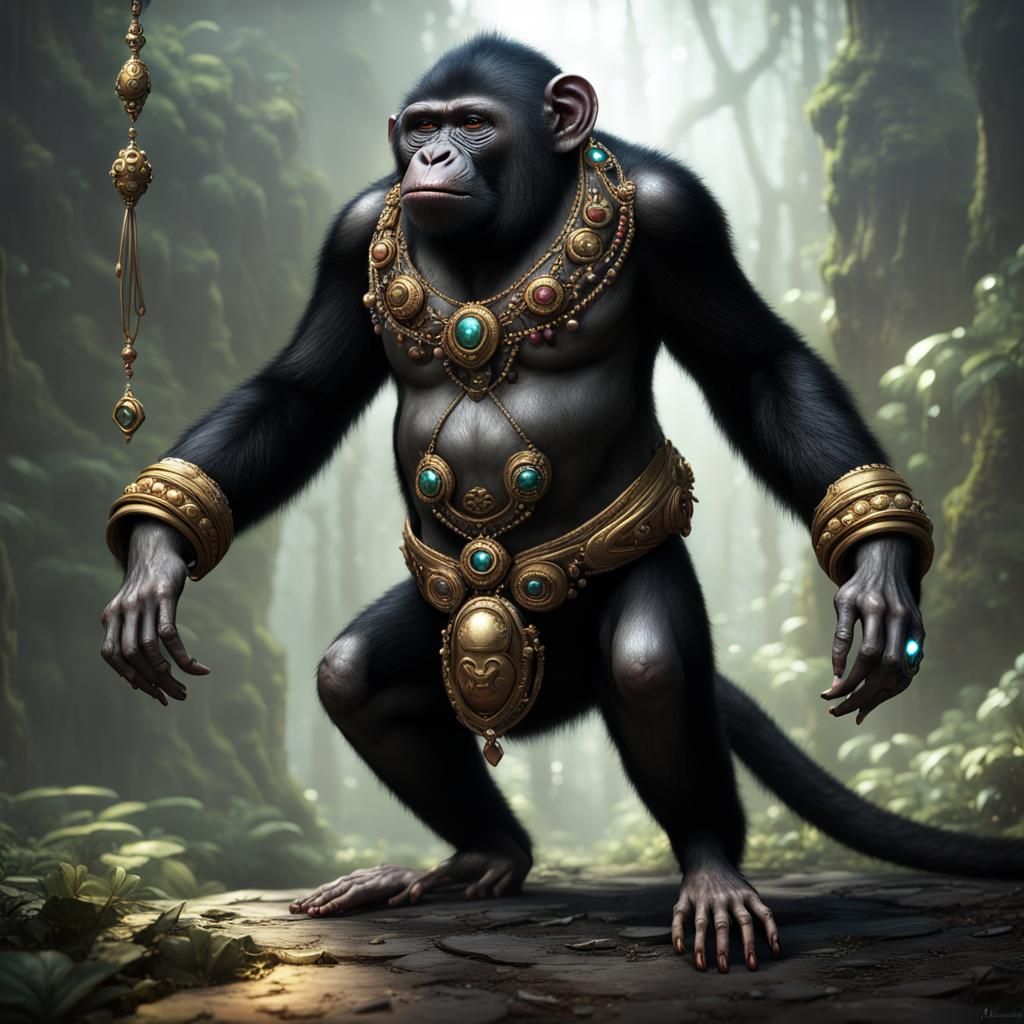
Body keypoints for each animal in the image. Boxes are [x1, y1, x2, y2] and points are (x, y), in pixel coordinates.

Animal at [101, 36, 1024, 974]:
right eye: (423, 127)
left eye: (474, 124)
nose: (432, 159)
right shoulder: (350, 234)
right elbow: (301, 394)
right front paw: (156, 555)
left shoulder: (679, 216)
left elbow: (758, 366)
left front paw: (878, 568)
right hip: (452, 621)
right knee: (354, 678)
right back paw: (485, 853)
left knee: (650, 670)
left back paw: (711, 868)